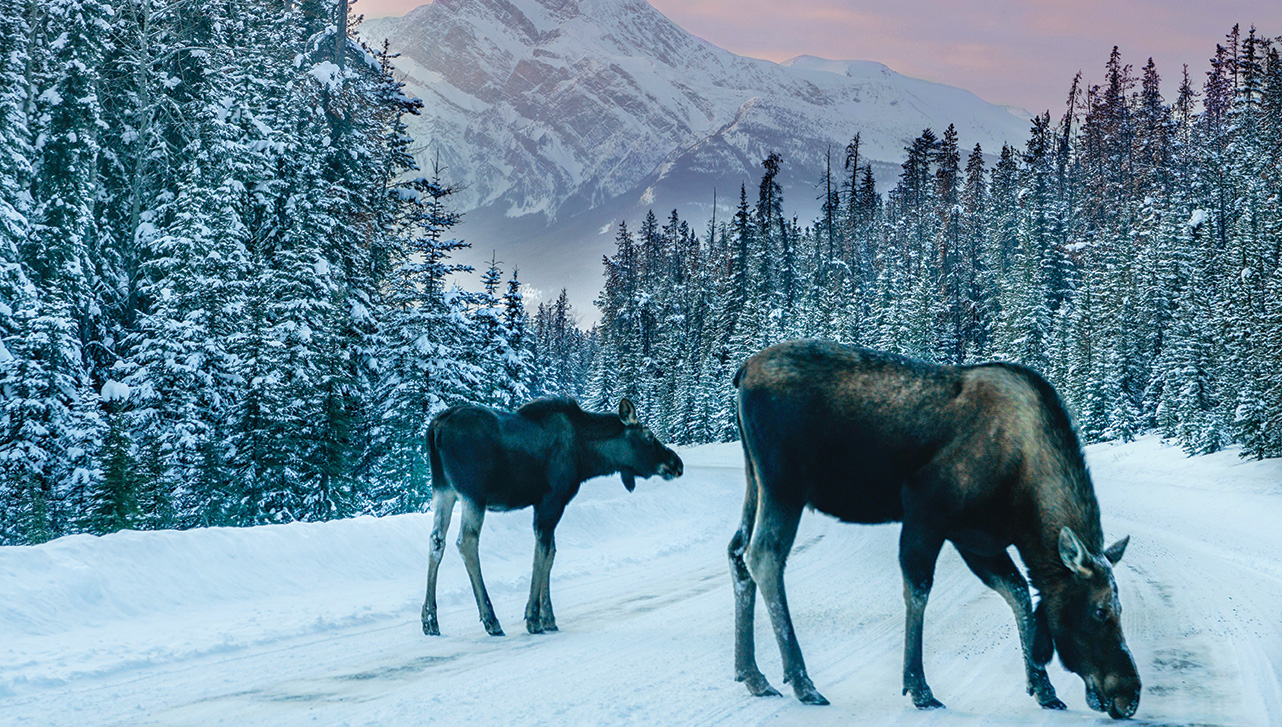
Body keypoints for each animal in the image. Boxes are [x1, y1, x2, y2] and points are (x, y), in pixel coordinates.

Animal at [420, 397, 682, 635]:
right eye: (649, 436)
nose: (677, 463)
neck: (588, 457)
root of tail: (435, 428)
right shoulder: (552, 500)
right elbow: (543, 553)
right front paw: (533, 617)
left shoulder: (546, 505)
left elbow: (550, 553)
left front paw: (548, 618)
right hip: (473, 494)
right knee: (467, 541)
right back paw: (491, 619)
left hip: (443, 489)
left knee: (436, 540)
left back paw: (430, 619)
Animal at [733, 343, 1143, 723]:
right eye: (1101, 610)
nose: (1130, 694)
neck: (1023, 497)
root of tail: (743, 371)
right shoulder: (926, 513)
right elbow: (919, 590)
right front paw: (919, 688)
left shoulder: (976, 540)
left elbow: (1018, 593)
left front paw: (1043, 688)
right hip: (785, 484)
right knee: (764, 555)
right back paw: (802, 680)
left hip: (755, 480)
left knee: (737, 552)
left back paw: (753, 675)